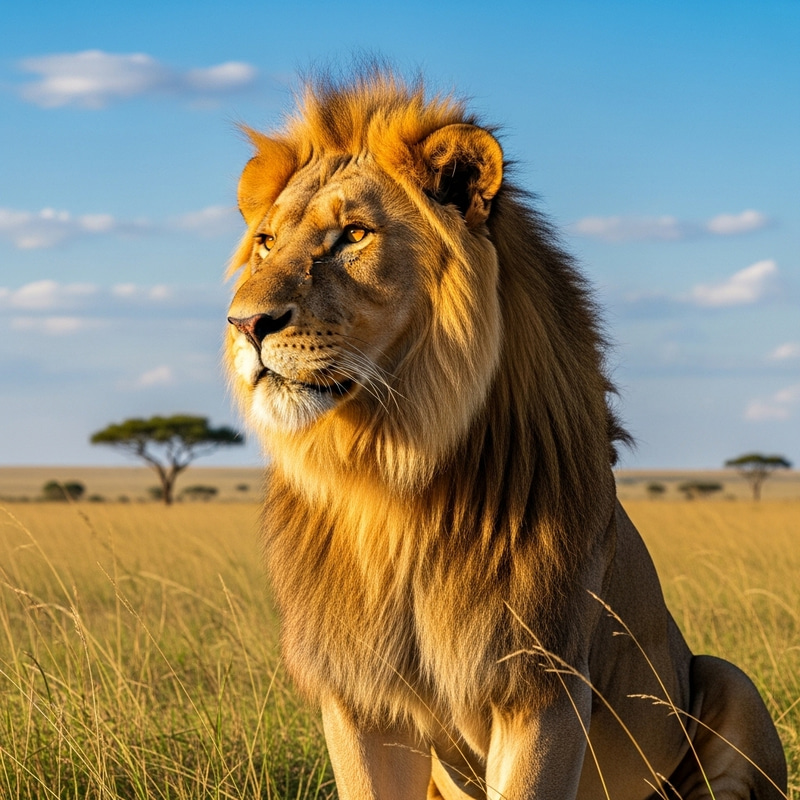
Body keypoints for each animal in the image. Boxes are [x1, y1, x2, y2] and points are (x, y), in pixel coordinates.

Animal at [225, 71, 787, 800]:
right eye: (266, 242)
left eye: (354, 234)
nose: (245, 324)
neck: (390, 478)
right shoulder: (359, 698)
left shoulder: (542, 686)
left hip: (730, 678)